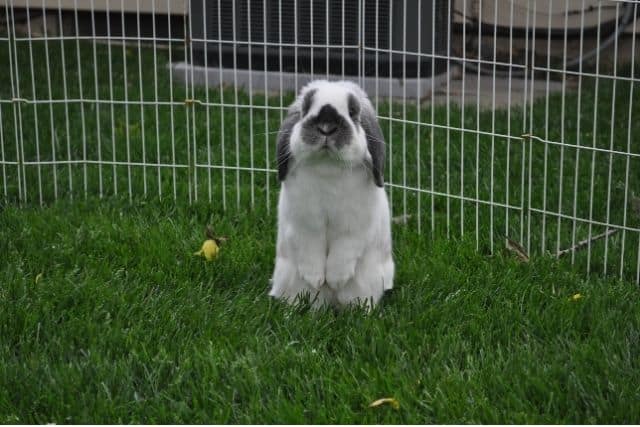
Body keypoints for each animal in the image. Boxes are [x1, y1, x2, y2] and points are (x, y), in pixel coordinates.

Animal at [269, 80, 394, 310]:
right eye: (305, 109)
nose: (326, 127)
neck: (327, 168)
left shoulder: (354, 227)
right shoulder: (303, 224)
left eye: (353, 112)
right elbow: (310, 249)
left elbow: (344, 250)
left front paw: (336, 279)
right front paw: (316, 278)